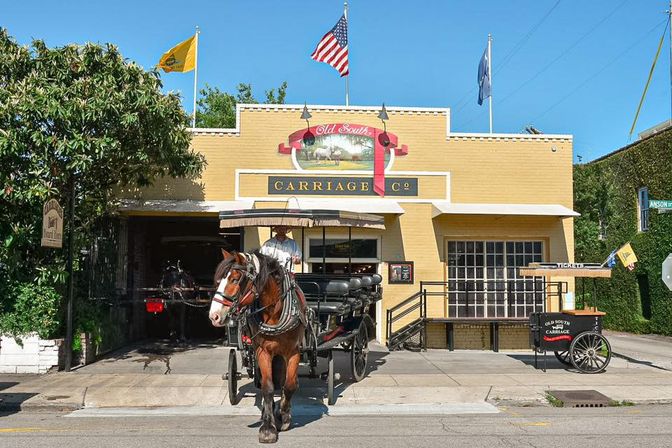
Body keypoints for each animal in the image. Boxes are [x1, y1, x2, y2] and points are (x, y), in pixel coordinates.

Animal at [207, 250, 308, 442]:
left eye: (235, 279)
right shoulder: (263, 351)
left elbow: (290, 385)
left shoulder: (293, 351)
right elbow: (267, 387)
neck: (274, 312)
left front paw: (284, 416)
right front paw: (268, 427)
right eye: (218, 281)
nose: (214, 316)